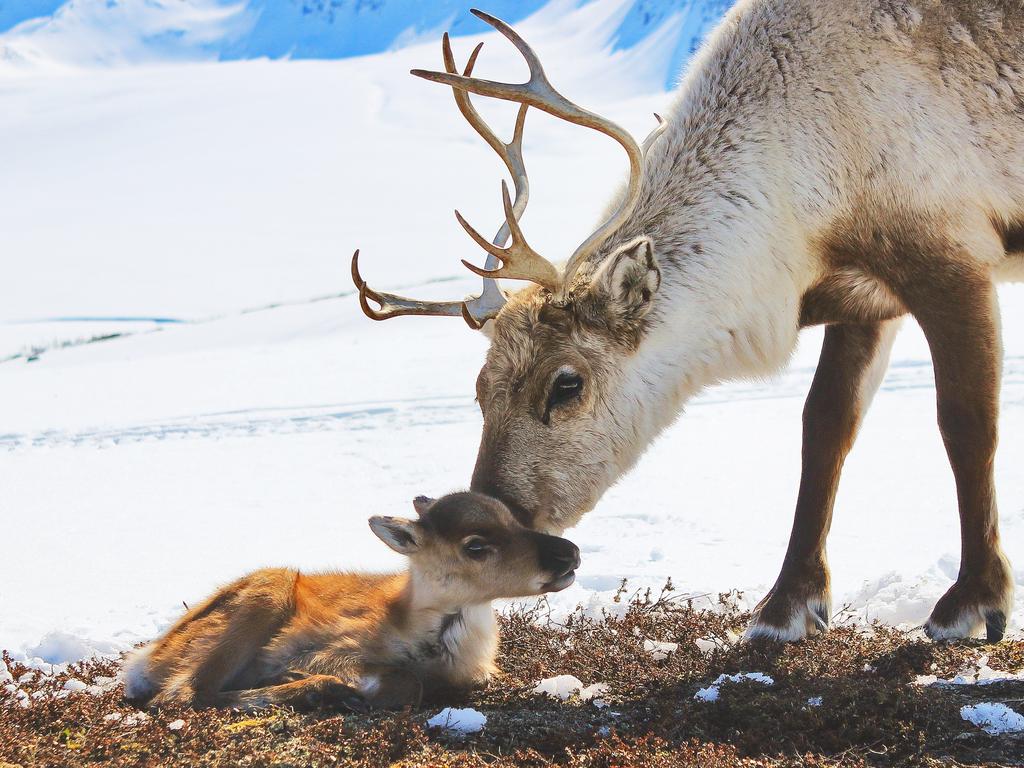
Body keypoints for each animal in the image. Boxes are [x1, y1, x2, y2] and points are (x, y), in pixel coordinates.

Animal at [121, 495, 577, 712]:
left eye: (513, 518)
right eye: (475, 545)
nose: (569, 553)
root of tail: (146, 657)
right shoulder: (329, 651)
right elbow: (405, 682)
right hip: (268, 589)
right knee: (181, 693)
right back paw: (317, 691)